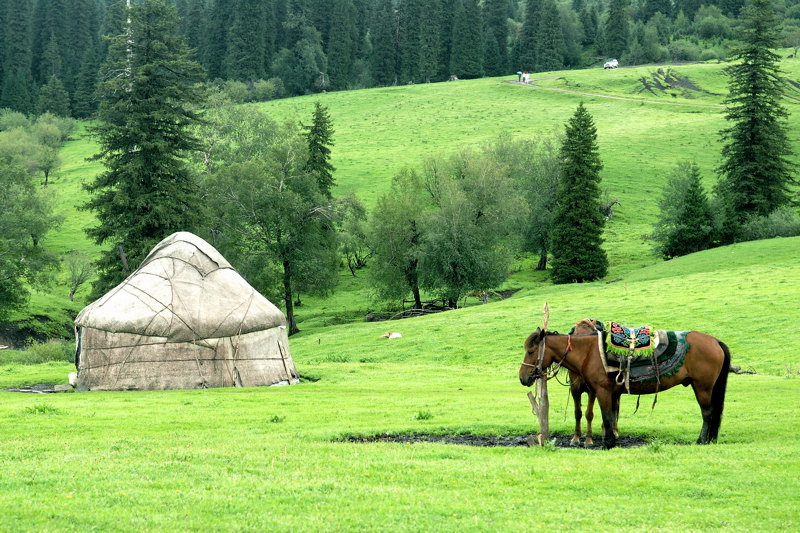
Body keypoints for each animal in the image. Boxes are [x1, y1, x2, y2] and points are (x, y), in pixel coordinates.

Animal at [520, 326, 732, 446]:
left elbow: (606, 417)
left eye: (530, 351)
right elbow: (608, 417)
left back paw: (702, 440)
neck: (589, 352)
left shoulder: (602, 391)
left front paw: (608, 444)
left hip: (703, 387)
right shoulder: (607, 392)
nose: (522, 377)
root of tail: (715, 341)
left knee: (708, 413)